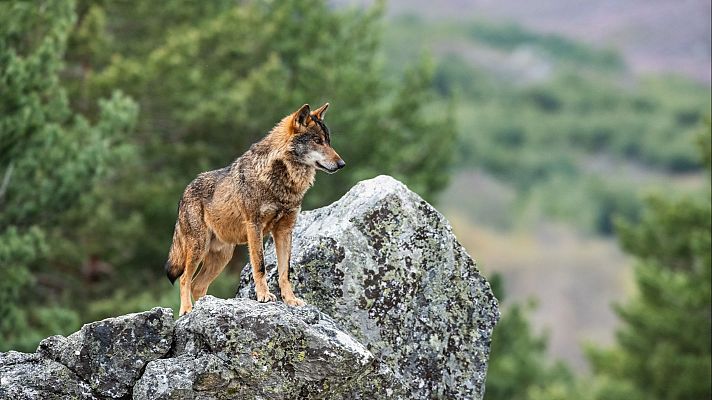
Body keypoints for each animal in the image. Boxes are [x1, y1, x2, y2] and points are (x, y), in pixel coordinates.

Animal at [164, 103, 344, 315]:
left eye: (328, 141)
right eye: (317, 141)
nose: (342, 164)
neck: (282, 181)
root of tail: (185, 191)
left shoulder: (284, 231)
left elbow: (285, 272)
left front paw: (290, 300)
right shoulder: (254, 226)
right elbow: (260, 266)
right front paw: (264, 296)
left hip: (222, 256)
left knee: (197, 285)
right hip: (198, 248)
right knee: (185, 279)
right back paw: (187, 310)